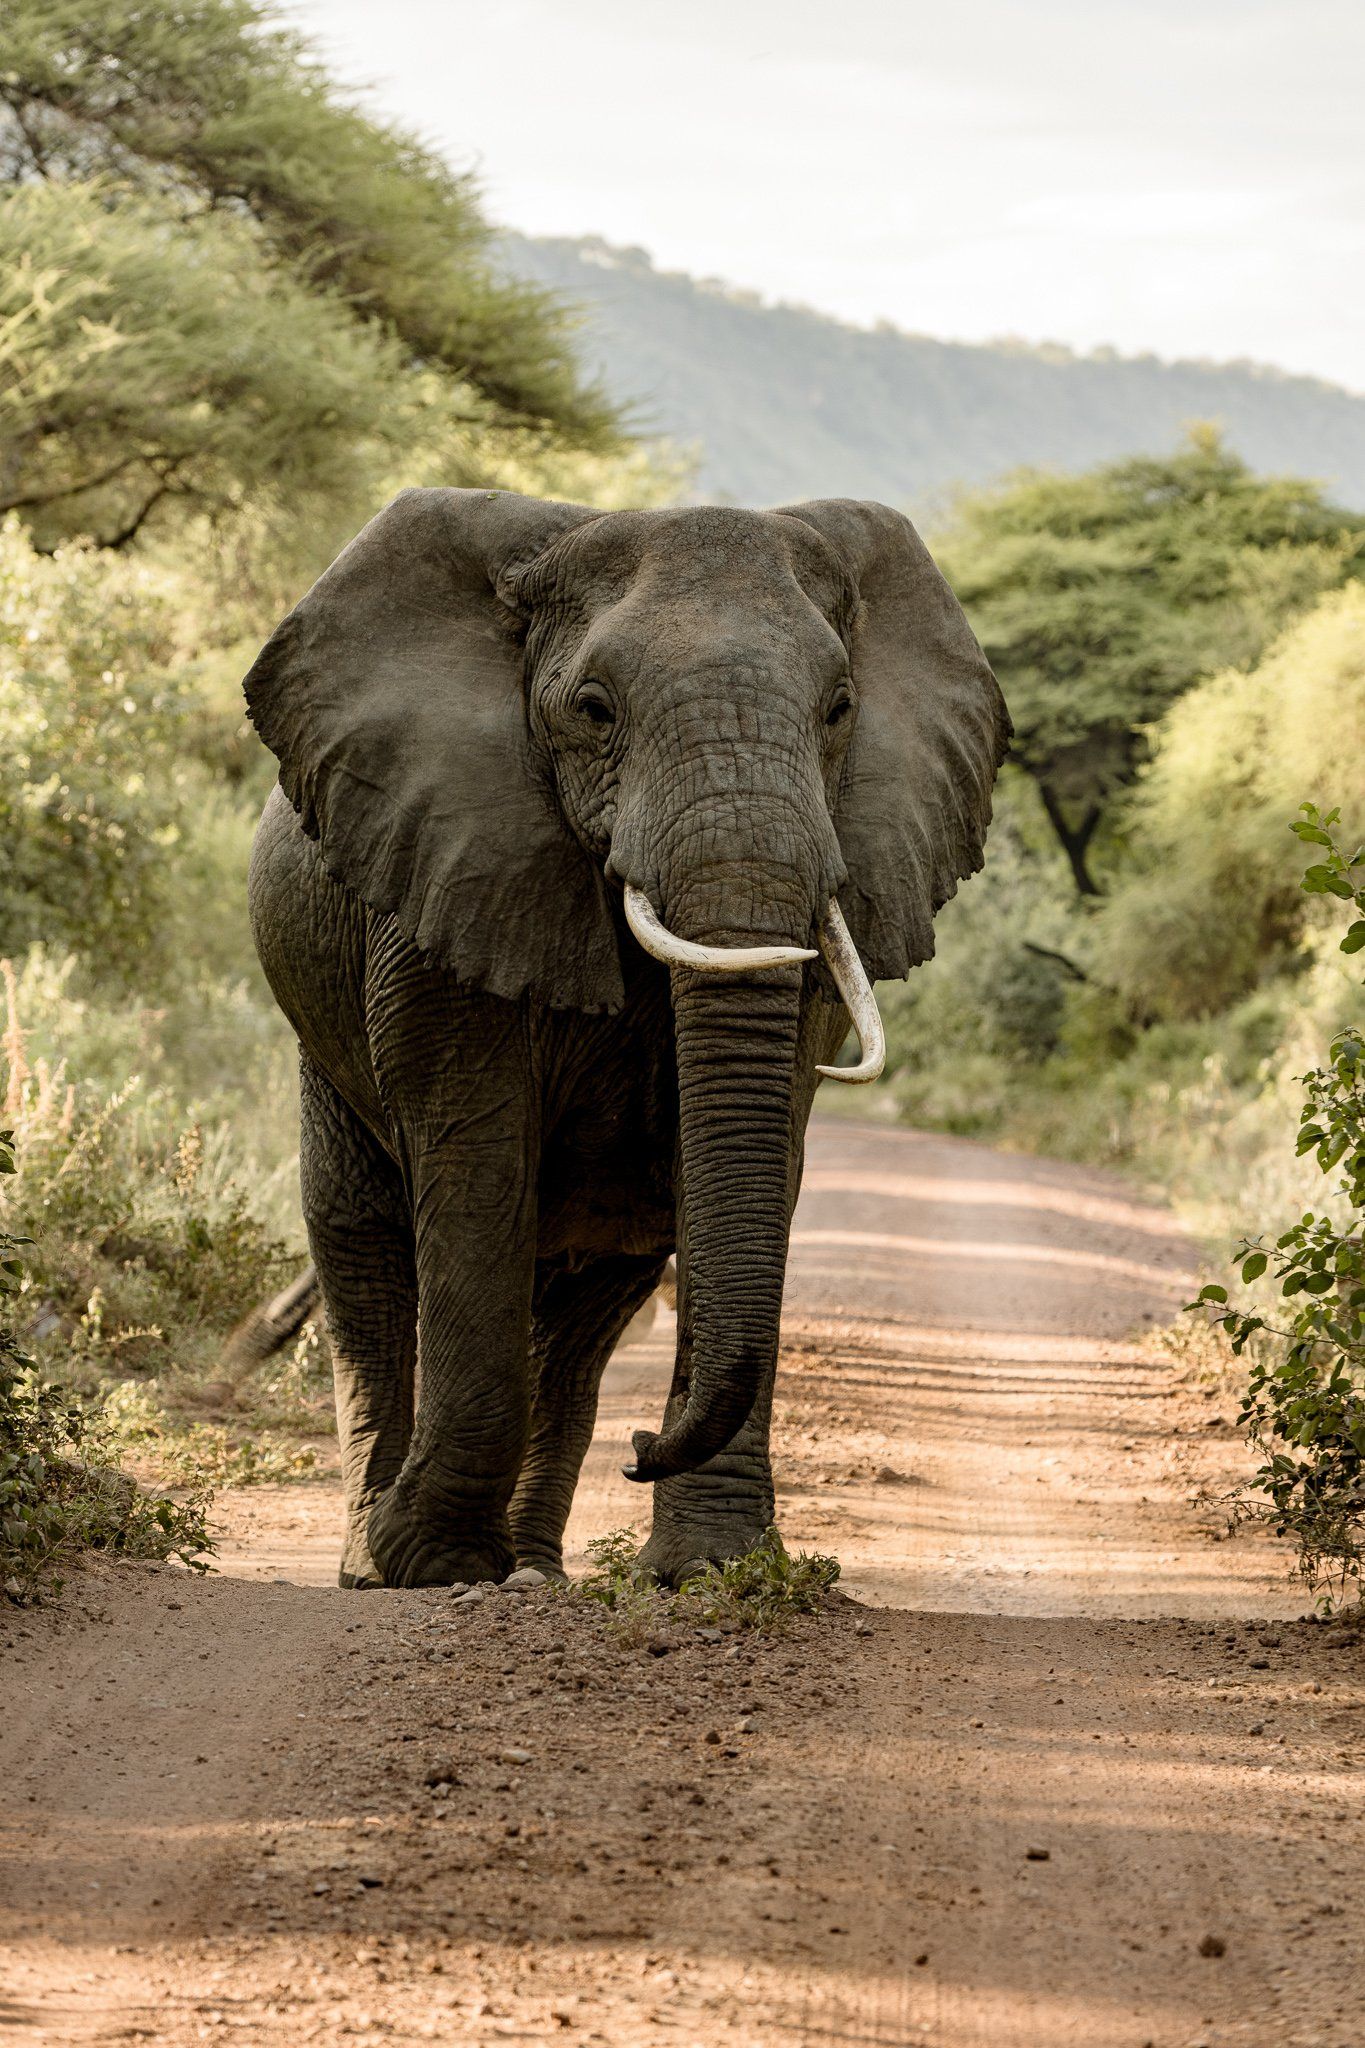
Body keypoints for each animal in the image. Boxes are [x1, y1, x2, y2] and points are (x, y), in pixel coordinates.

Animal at [243, 488, 1008, 1589]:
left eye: (839, 710)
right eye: (594, 710)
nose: (645, 1450)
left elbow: (751, 1155)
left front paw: (715, 1571)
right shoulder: (445, 873)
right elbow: (473, 1159)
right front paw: (430, 1561)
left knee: (582, 1321)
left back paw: (532, 1568)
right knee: (364, 1251)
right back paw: (373, 1562)